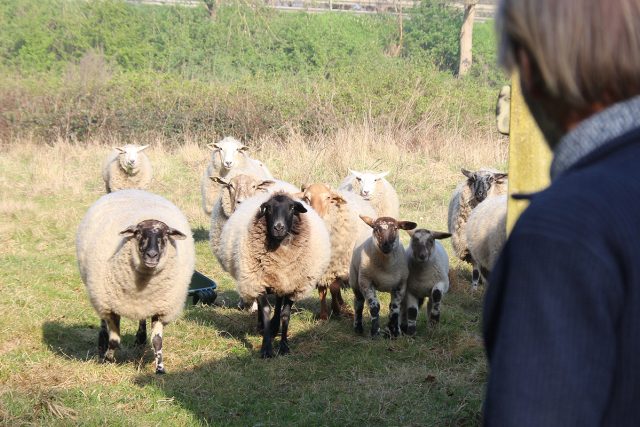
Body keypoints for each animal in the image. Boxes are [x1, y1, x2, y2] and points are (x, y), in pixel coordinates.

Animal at [75, 191, 195, 374]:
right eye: (138, 233)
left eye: (165, 235)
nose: (152, 255)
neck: (143, 285)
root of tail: (132, 190)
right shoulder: (111, 306)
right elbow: (115, 340)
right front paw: (108, 359)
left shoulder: (161, 308)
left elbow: (157, 341)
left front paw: (160, 368)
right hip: (99, 295)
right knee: (102, 320)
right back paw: (102, 342)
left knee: (141, 320)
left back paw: (140, 339)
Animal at [219, 193, 330, 358]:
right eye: (268, 208)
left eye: (292, 207)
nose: (278, 227)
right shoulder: (257, 281)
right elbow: (265, 310)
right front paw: (266, 348)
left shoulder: (293, 284)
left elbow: (285, 314)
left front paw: (284, 346)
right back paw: (262, 326)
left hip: (280, 282)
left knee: (278, 302)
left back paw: (275, 327)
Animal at [298, 182, 378, 320]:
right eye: (306, 198)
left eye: (328, 198)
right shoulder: (322, 268)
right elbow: (322, 291)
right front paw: (324, 315)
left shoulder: (337, 265)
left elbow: (334, 289)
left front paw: (336, 310)